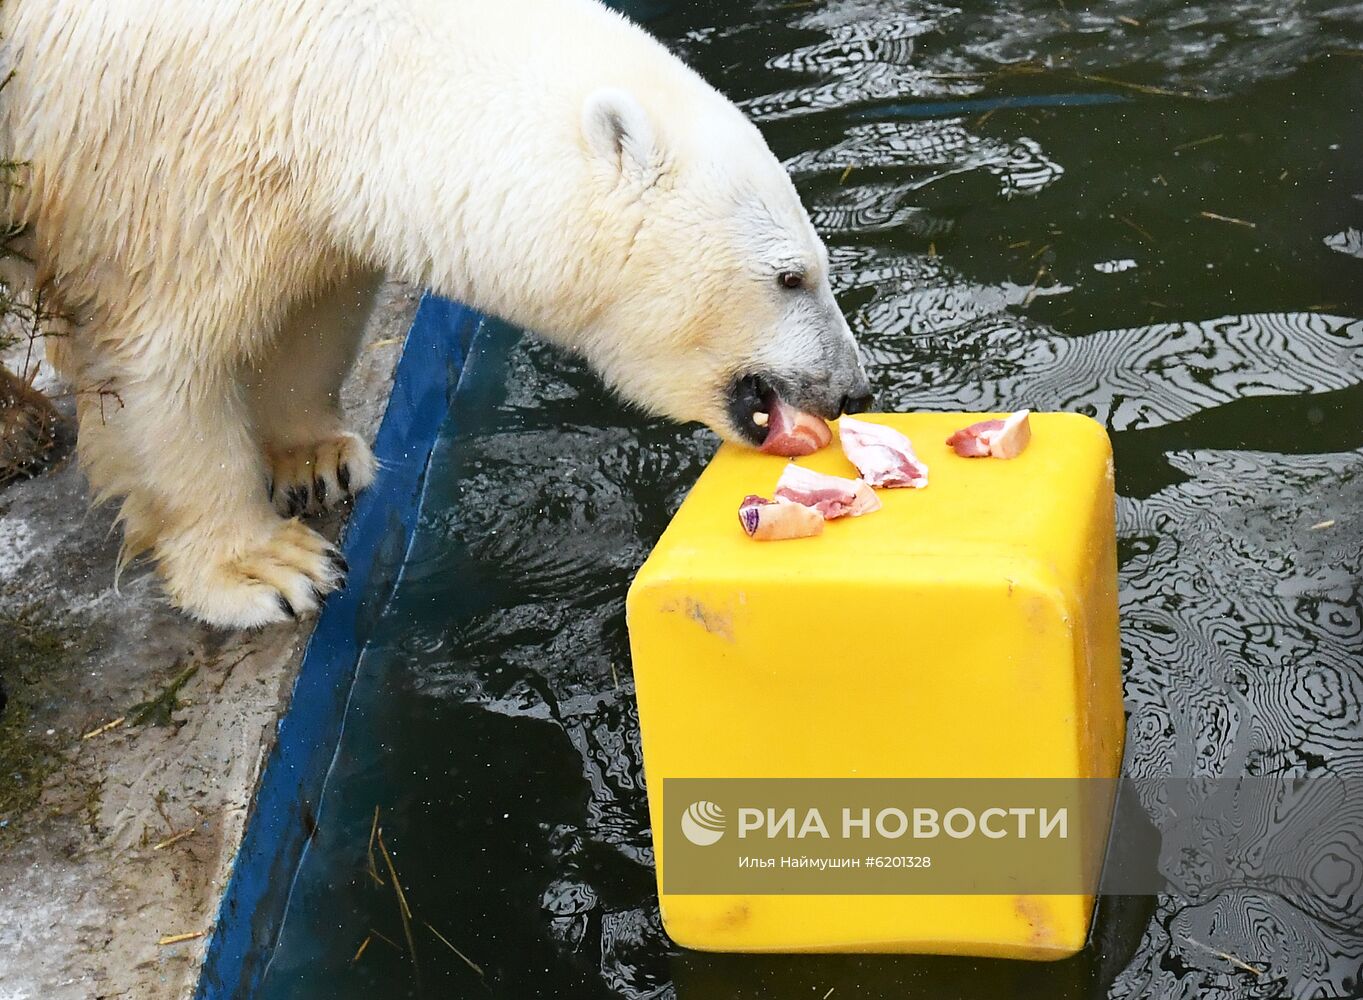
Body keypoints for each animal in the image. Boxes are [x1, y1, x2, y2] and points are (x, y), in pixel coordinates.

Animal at [0, 0, 866, 626]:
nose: (851, 388)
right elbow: (165, 358)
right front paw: (264, 569)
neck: (349, 72)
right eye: (790, 276)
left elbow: (313, 310)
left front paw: (316, 461)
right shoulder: (158, 169)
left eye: (817, 266)